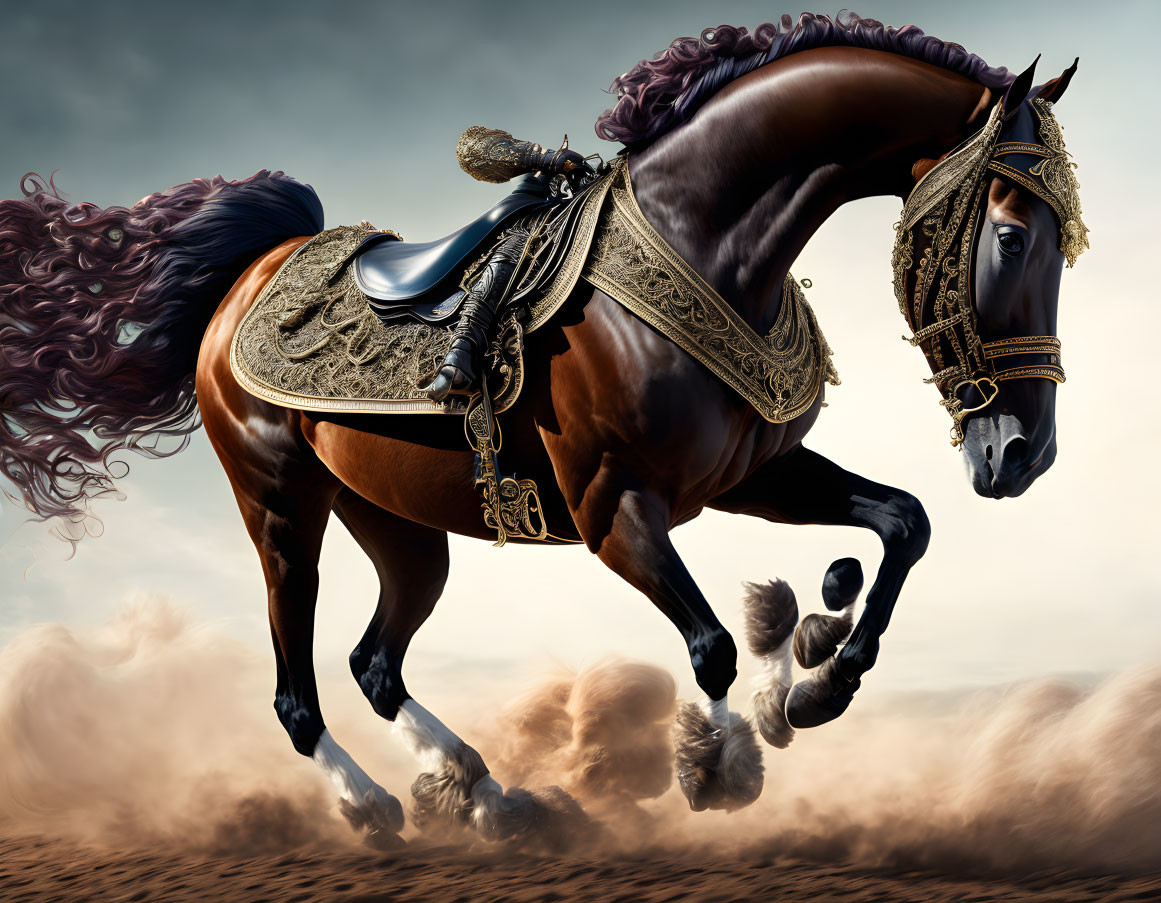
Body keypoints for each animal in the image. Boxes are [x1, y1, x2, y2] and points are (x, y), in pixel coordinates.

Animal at [4, 15, 1082, 844]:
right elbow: (711, 645)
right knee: (296, 686)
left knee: (374, 663)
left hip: (400, 527)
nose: (1024, 454)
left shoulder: (752, 477)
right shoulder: (614, 508)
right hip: (279, 507)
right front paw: (721, 764)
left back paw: (487, 796)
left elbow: (903, 521)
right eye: (1010, 234)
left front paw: (824, 674)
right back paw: (371, 805)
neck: (708, 244)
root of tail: (254, 270)